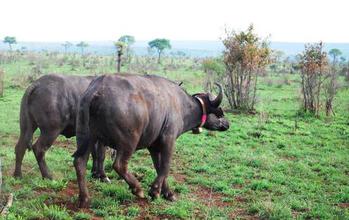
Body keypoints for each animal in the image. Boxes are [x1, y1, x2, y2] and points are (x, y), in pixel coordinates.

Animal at [73, 73, 228, 207]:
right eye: (219, 112)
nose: (227, 124)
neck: (182, 105)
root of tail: (97, 90)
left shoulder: (154, 146)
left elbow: (159, 168)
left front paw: (167, 193)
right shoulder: (169, 140)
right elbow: (165, 167)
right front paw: (155, 191)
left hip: (87, 137)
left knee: (80, 162)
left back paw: (84, 198)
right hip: (129, 141)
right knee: (119, 165)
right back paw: (137, 189)